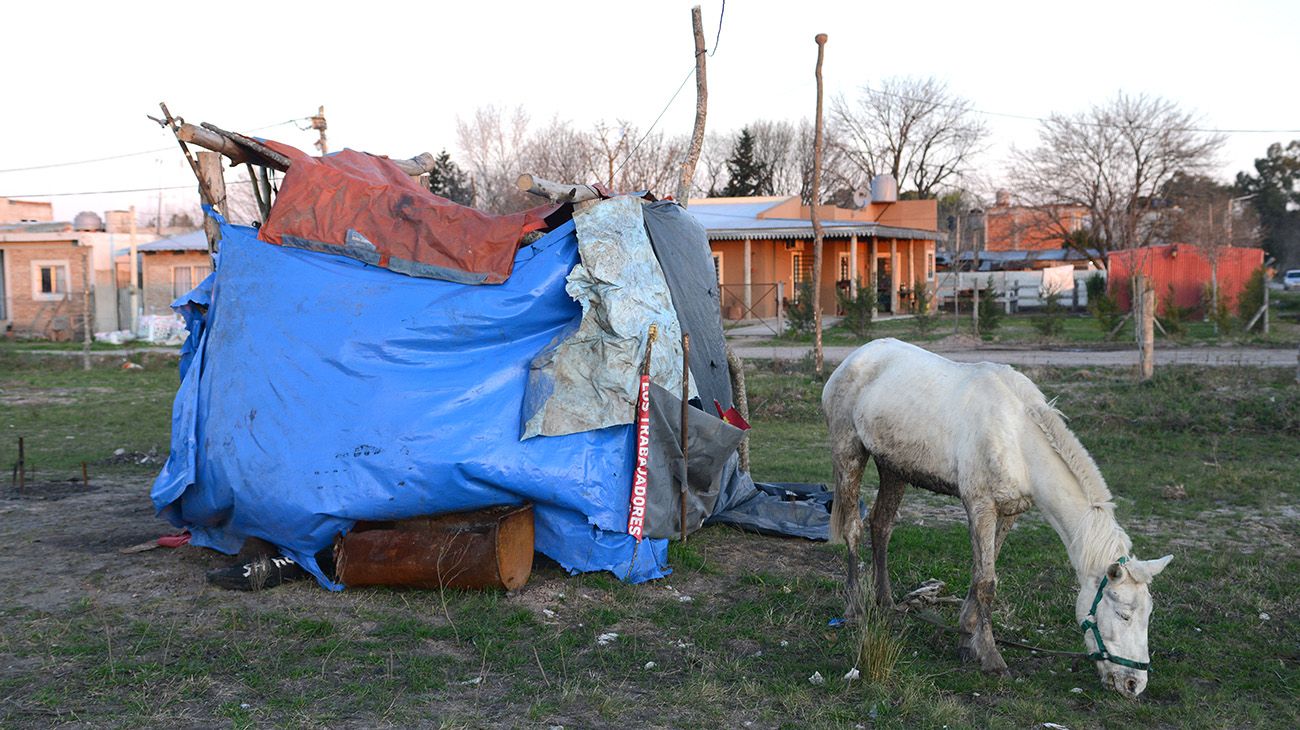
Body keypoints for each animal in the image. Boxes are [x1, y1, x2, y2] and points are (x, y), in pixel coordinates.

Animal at [826, 337, 1175, 696]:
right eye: (1123, 614)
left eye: (1148, 614)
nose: (1134, 684)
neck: (1017, 439)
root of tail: (856, 357)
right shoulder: (980, 506)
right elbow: (986, 582)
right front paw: (992, 657)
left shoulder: (1009, 512)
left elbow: (981, 570)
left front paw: (968, 639)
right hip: (849, 453)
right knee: (853, 528)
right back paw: (854, 608)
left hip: (894, 468)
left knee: (881, 526)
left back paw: (886, 603)